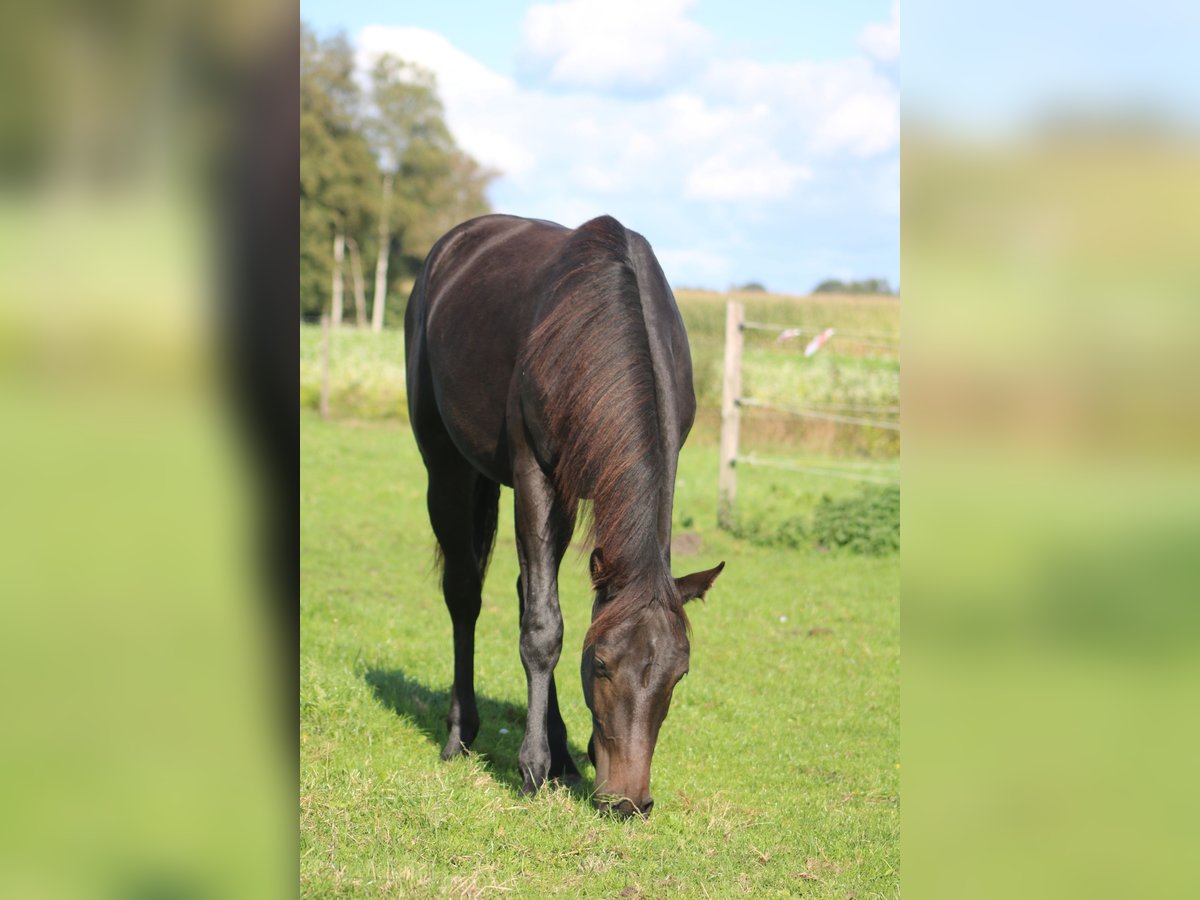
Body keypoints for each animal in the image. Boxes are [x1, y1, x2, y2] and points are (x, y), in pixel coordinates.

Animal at [405, 214, 720, 820]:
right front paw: (531, 768)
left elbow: (544, 609)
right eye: (600, 665)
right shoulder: (535, 473)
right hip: (447, 467)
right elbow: (543, 629)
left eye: (680, 674)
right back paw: (461, 736)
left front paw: (563, 759)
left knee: (525, 587)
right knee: (465, 593)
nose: (628, 801)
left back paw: (563, 758)